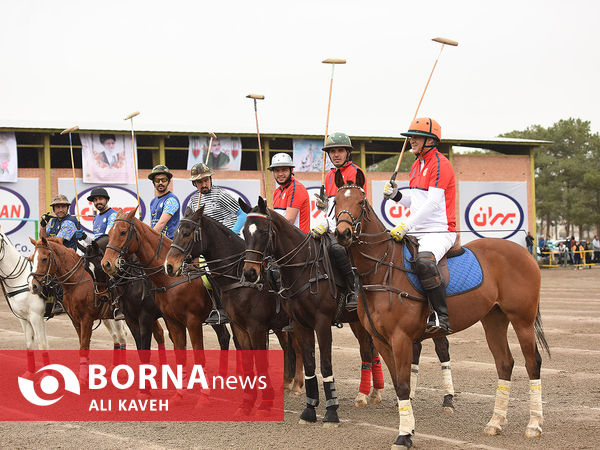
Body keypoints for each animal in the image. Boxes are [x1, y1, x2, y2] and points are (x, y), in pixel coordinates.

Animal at [0, 227, 49, 374]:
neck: (20, 279)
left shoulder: (36, 316)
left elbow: (42, 345)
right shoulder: (23, 318)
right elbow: (29, 344)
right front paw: (30, 373)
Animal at [28, 236, 129, 380]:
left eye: (44, 258)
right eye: (31, 259)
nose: (34, 286)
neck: (76, 282)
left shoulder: (86, 319)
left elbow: (84, 346)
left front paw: (83, 377)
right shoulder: (75, 320)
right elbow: (82, 344)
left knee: (122, 336)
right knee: (117, 336)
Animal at [164, 206, 304, 400]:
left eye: (186, 233)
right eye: (176, 231)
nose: (169, 266)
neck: (239, 278)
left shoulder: (256, 327)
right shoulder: (239, 326)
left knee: (297, 348)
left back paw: (297, 384)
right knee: (287, 347)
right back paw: (287, 381)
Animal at [238, 199, 382, 428]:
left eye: (263, 231)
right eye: (244, 232)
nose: (250, 273)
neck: (303, 267)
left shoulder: (321, 324)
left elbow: (325, 365)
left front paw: (331, 412)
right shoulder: (300, 325)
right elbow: (309, 365)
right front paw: (309, 410)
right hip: (359, 322)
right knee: (369, 351)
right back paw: (368, 394)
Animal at [330, 171, 552, 448]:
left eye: (361, 202)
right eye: (335, 201)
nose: (343, 234)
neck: (380, 270)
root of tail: (525, 251)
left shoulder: (401, 338)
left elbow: (404, 385)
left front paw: (404, 435)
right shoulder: (381, 340)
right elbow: (398, 384)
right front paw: (408, 430)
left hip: (522, 319)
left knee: (533, 362)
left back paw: (534, 425)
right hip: (494, 319)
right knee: (504, 363)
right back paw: (495, 422)